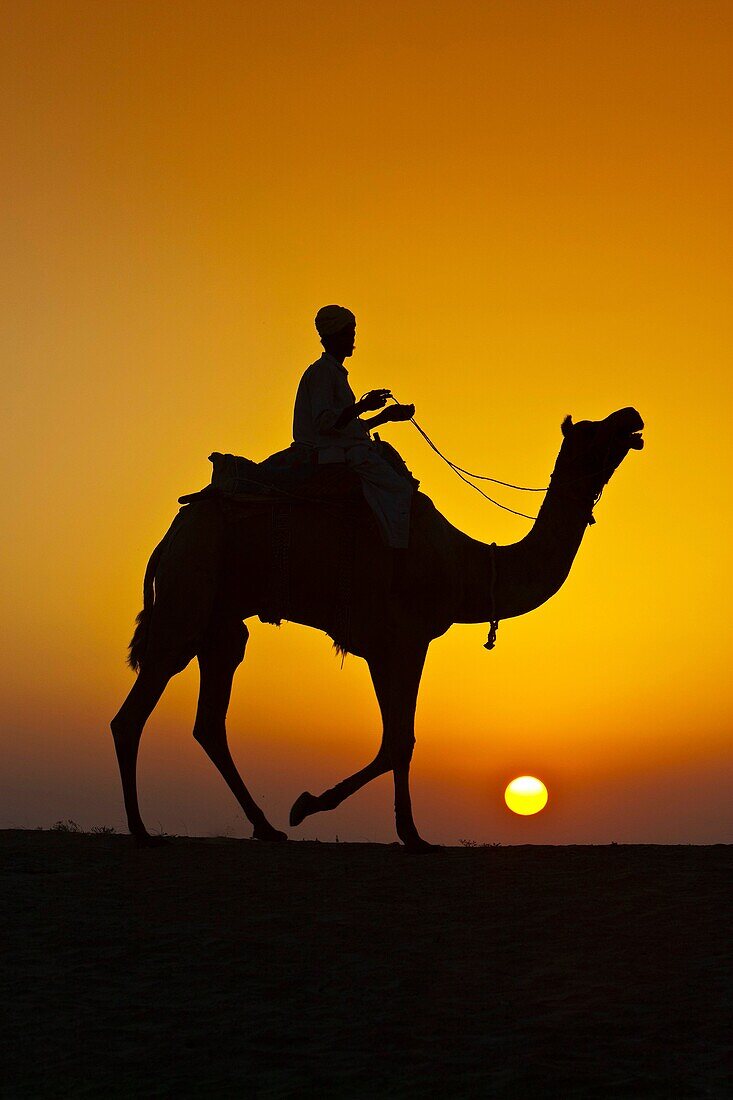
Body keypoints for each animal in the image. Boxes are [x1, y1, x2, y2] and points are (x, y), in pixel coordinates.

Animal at [110, 409, 638, 853]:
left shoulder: (396, 645)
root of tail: (173, 531)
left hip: (221, 624)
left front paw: (376, 824)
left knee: (209, 720)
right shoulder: (399, 642)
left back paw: (266, 827)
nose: (631, 416)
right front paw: (345, 816)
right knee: (132, 713)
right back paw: (141, 830)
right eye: (592, 430)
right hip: (187, 598)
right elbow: (399, 740)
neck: (465, 566)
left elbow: (398, 741)